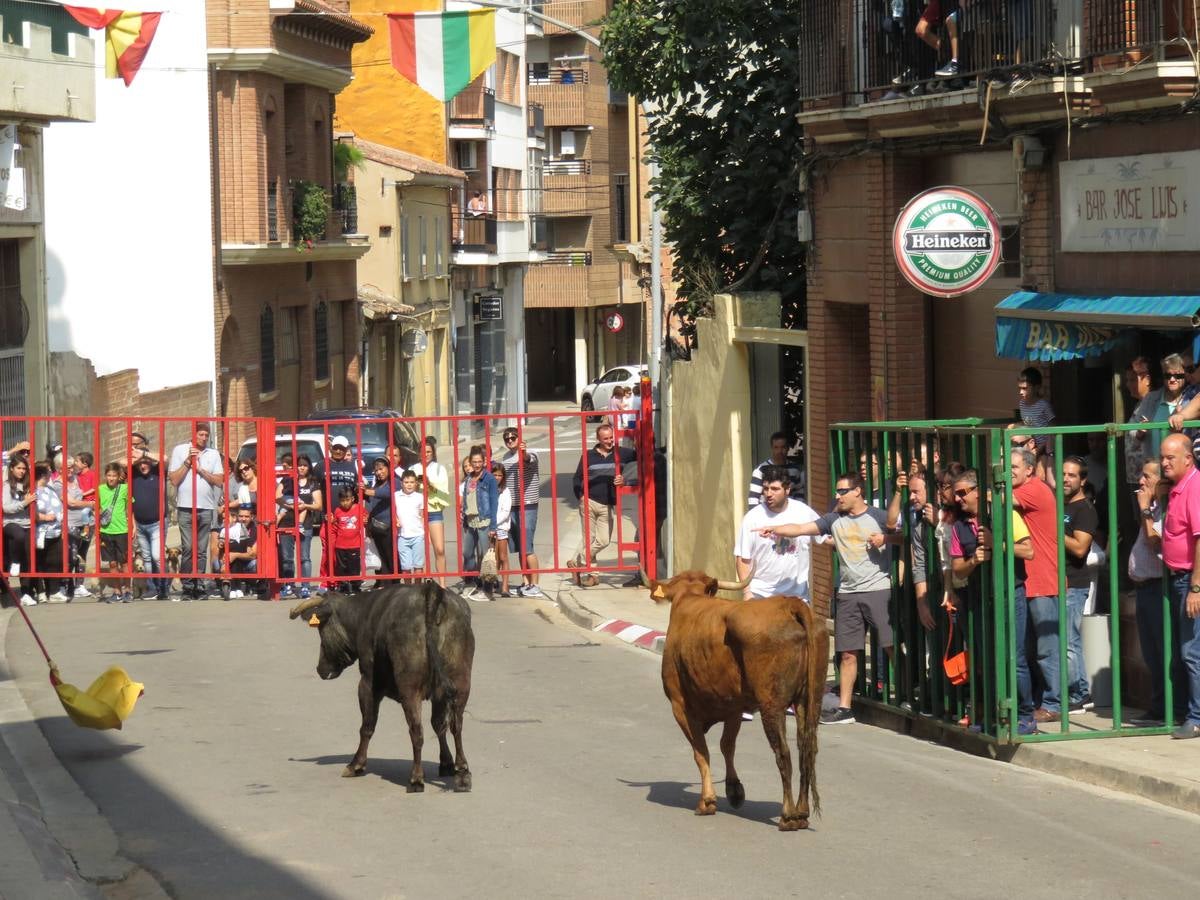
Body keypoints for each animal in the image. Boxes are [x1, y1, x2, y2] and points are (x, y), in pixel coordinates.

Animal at [289, 580, 472, 792]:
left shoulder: (367, 683)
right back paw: (463, 774)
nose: (320, 668)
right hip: (461, 681)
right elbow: (439, 725)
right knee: (456, 725)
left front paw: (356, 764)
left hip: (409, 689)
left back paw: (416, 778)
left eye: (321, 631)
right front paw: (447, 763)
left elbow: (367, 725)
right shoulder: (439, 693)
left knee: (416, 730)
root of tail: (430, 591)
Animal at [652, 571, 830, 830]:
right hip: (810, 702)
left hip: (771, 705)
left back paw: (788, 815)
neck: (689, 599)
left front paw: (707, 801)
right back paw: (802, 812)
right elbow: (727, 746)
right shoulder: (733, 707)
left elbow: (701, 752)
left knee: (784, 753)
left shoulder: (680, 706)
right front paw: (734, 790)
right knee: (807, 750)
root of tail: (788, 604)